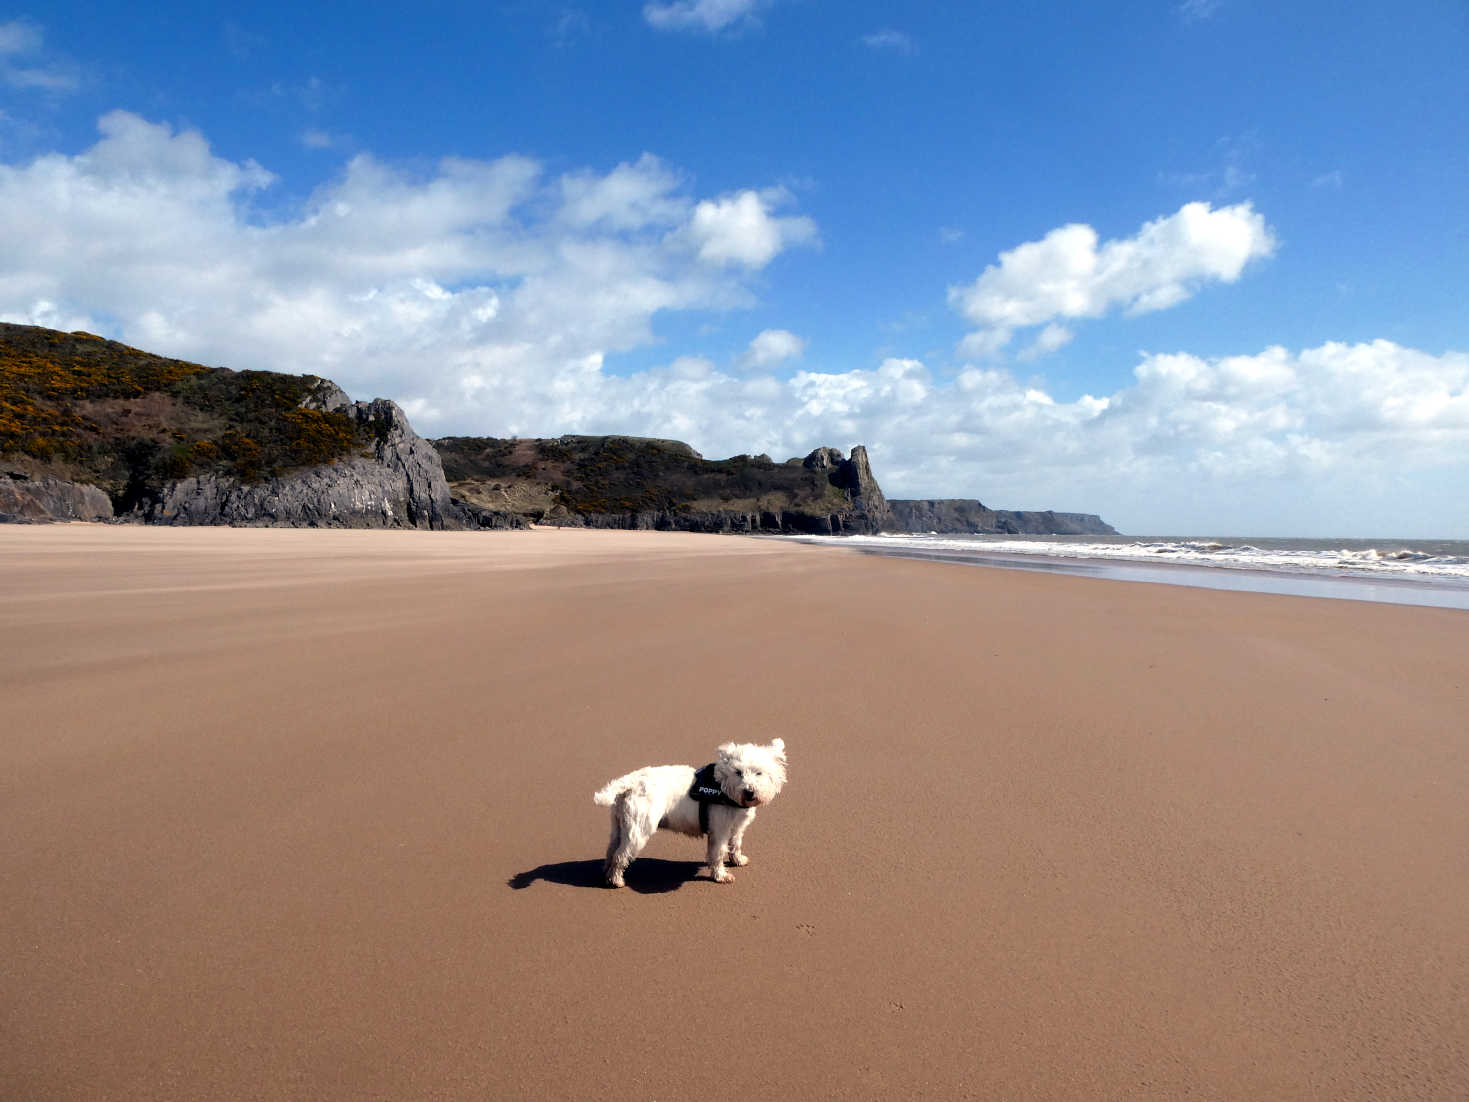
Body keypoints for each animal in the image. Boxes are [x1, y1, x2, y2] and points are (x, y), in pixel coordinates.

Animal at [590, 743, 787, 887]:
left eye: (759, 772)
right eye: (738, 772)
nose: (749, 792)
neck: (723, 788)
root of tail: (632, 780)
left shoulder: (736, 828)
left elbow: (735, 845)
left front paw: (737, 859)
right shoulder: (719, 830)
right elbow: (718, 853)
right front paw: (720, 875)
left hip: (619, 825)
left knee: (611, 849)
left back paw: (606, 873)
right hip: (639, 830)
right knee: (620, 856)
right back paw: (616, 880)